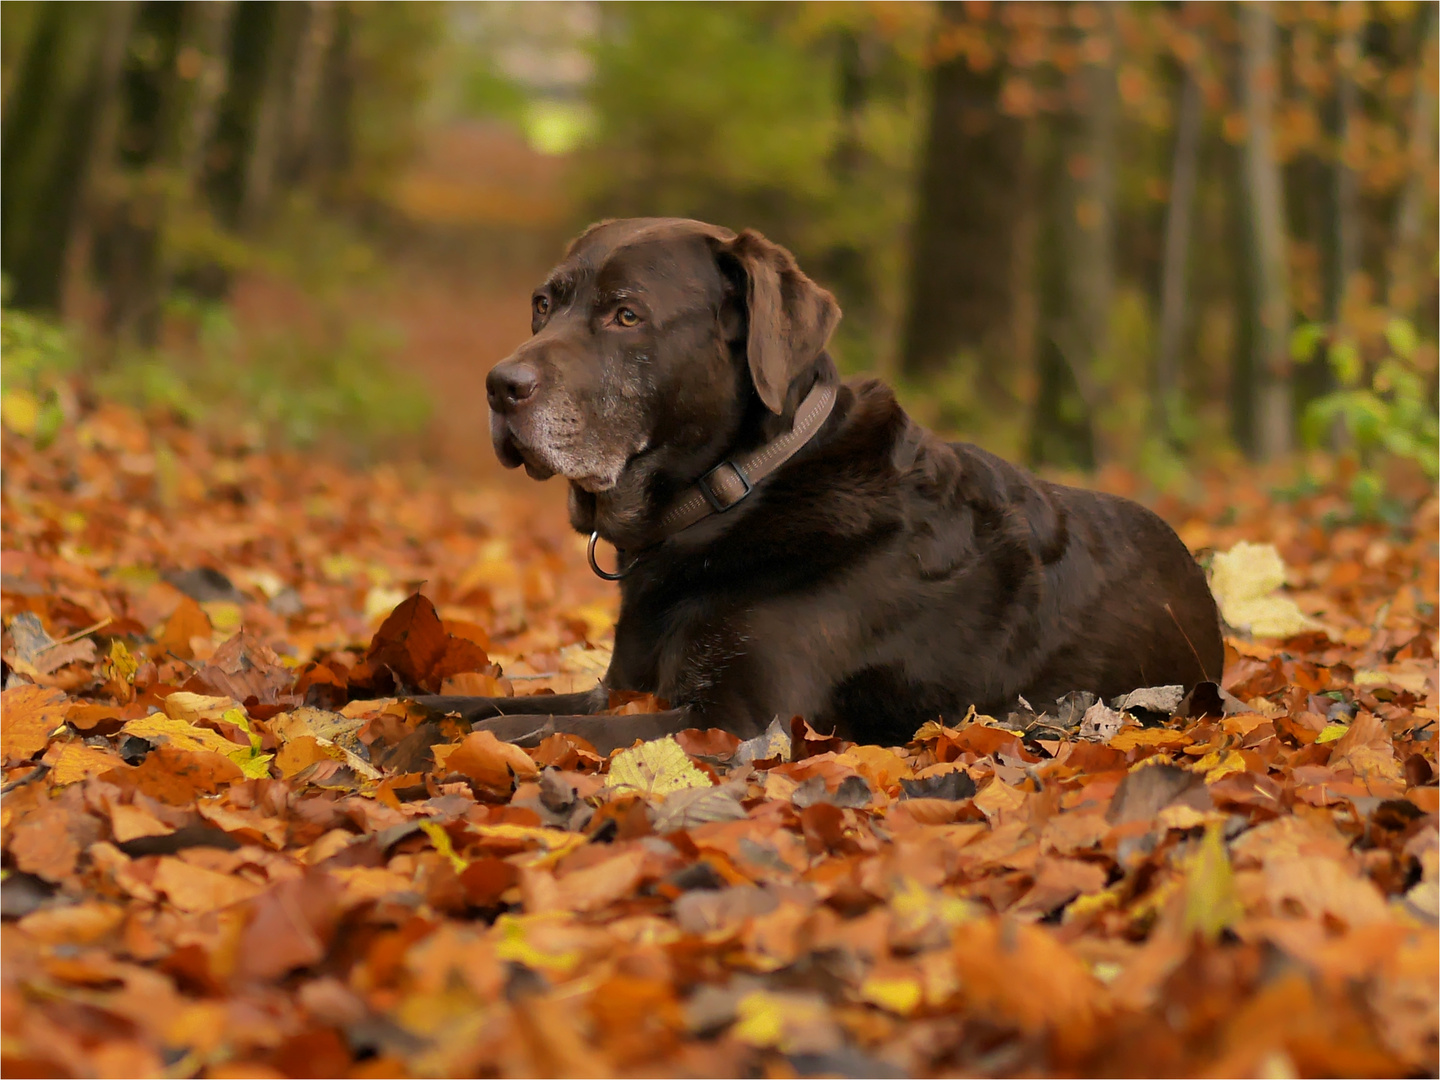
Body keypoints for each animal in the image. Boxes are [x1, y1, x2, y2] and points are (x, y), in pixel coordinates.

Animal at [420, 220, 1226, 754]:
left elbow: (523, 725)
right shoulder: (616, 687)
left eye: (626, 315)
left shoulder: (734, 720)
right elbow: (463, 704)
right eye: (542, 305)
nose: (499, 386)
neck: (738, 495)